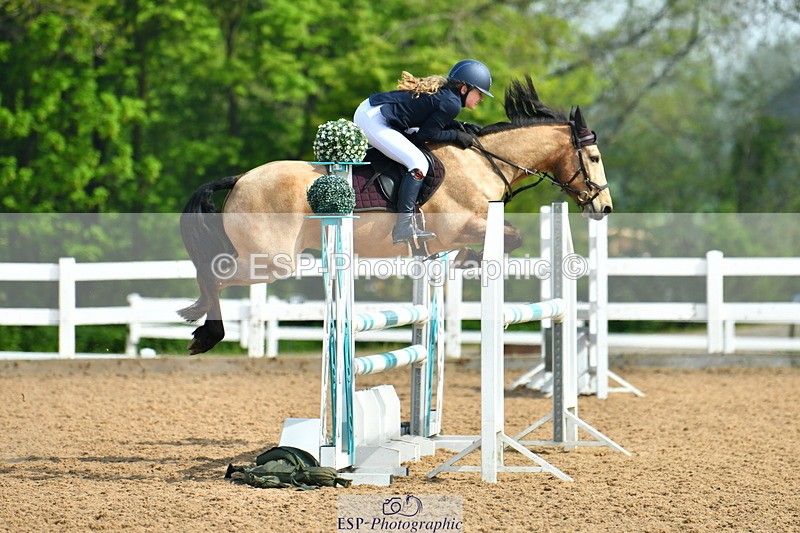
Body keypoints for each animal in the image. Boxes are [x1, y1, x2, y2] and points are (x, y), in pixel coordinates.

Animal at [178, 76, 613, 354]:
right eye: (593, 158)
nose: (604, 208)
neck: (485, 162)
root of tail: (240, 179)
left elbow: (503, 239)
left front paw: (461, 261)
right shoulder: (459, 225)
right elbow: (510, 237)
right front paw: (467, 260)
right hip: (271, 261)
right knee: (215, 275)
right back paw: (206, 334)